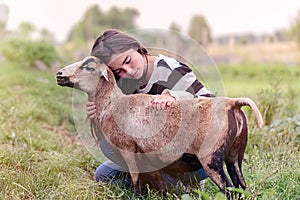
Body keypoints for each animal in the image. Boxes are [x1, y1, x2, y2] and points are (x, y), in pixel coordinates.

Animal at [55, 55, 262, 198]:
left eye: (89, 67)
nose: (59, 74)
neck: (113, 104)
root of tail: (233, 104)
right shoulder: (148, 155)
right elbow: (156, 178)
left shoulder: (128, 149)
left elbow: (136, 179)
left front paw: (137, 197)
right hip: (235, 154)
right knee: (242, 186)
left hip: (211, 158)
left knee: (229, 190)